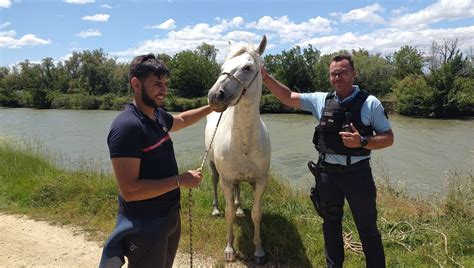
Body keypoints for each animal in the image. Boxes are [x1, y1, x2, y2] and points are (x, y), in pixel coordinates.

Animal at [205, 35, 270, 264]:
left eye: (247, 67)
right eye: (222, 67)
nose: (215, 96)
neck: (244, 143)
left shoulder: (260, 180)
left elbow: (257, 214)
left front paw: (259, 251)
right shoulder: (226, 180)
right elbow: (229, 214)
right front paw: (229, 250)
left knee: (238, 190)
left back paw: (241, 208)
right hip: (214, 168)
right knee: (215, 183)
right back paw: (216, 209)